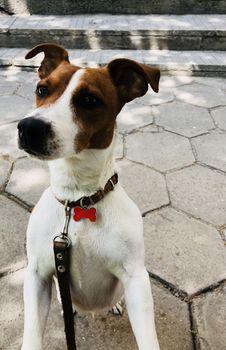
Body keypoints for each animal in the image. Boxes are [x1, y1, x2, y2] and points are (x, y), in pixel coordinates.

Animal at [18, 43, 161, 350]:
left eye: (88, 100)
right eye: (42, 89)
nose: (29, 127)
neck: (78, 201)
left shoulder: (136, 279)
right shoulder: (37, 276)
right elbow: (32, 334)